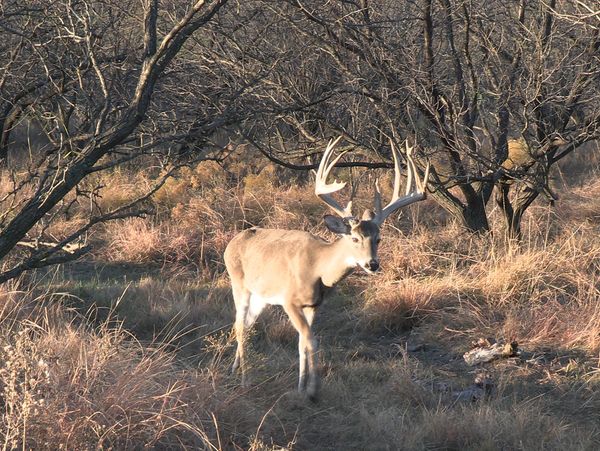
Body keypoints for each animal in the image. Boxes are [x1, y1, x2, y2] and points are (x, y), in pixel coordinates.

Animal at [223, 137, 428, 400]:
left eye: (378, 239)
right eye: (354, 238)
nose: (372, 264)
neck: (318, 267)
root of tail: (232, 242)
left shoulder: (314, 305)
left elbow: (302, 342)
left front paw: (301, 386)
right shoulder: (289, 300)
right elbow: (311, 340)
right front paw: (313, 389)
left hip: (262, 296)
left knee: (246, 325)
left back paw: (235, 368)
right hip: (239, 283)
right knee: (240, 325)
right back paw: (245, 379)